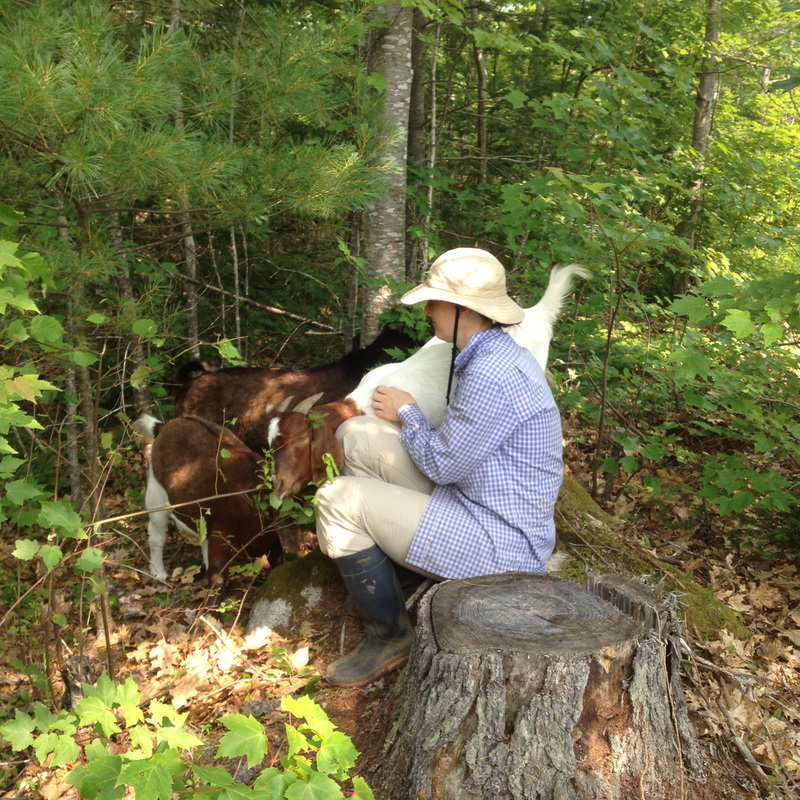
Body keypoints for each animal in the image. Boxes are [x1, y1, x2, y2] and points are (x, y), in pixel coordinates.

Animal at [134, 412, 288, 588]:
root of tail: (165, 425)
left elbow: (277, 559)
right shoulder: (221, 531)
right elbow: (218, 577)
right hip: (156, 490)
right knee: (156, 534)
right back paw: (158, 573)